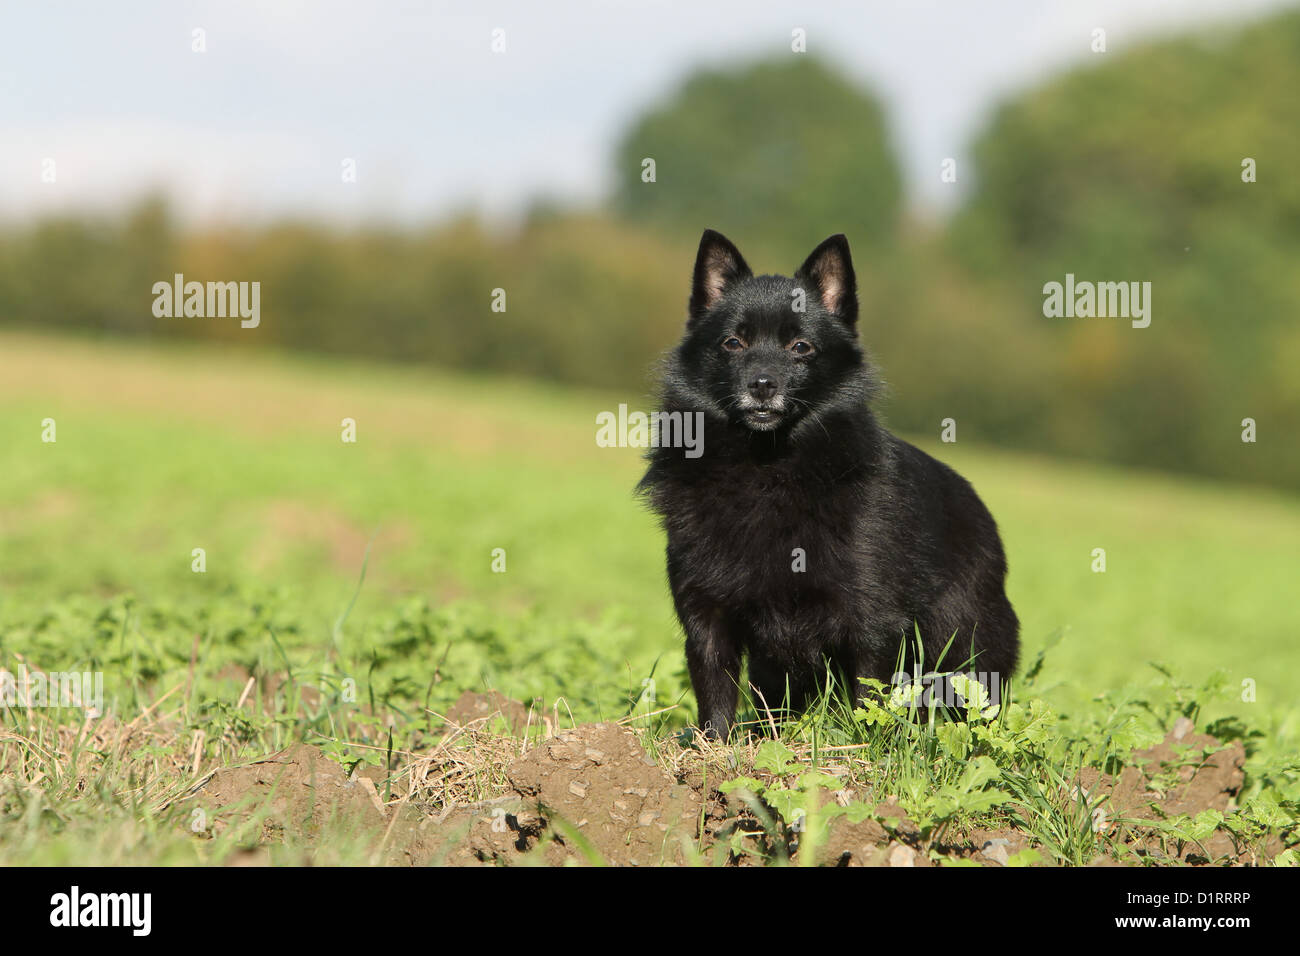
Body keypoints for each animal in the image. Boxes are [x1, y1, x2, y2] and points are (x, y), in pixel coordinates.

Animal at [637, 230, 1013, 738]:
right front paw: (712, 744)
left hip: (963, 652)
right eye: (733, 342)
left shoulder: (871, 620)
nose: (762, 384)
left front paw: (863, 746)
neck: (767, 467)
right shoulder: (707, 613)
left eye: (801, 347)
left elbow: (869, 698)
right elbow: (714, 690)